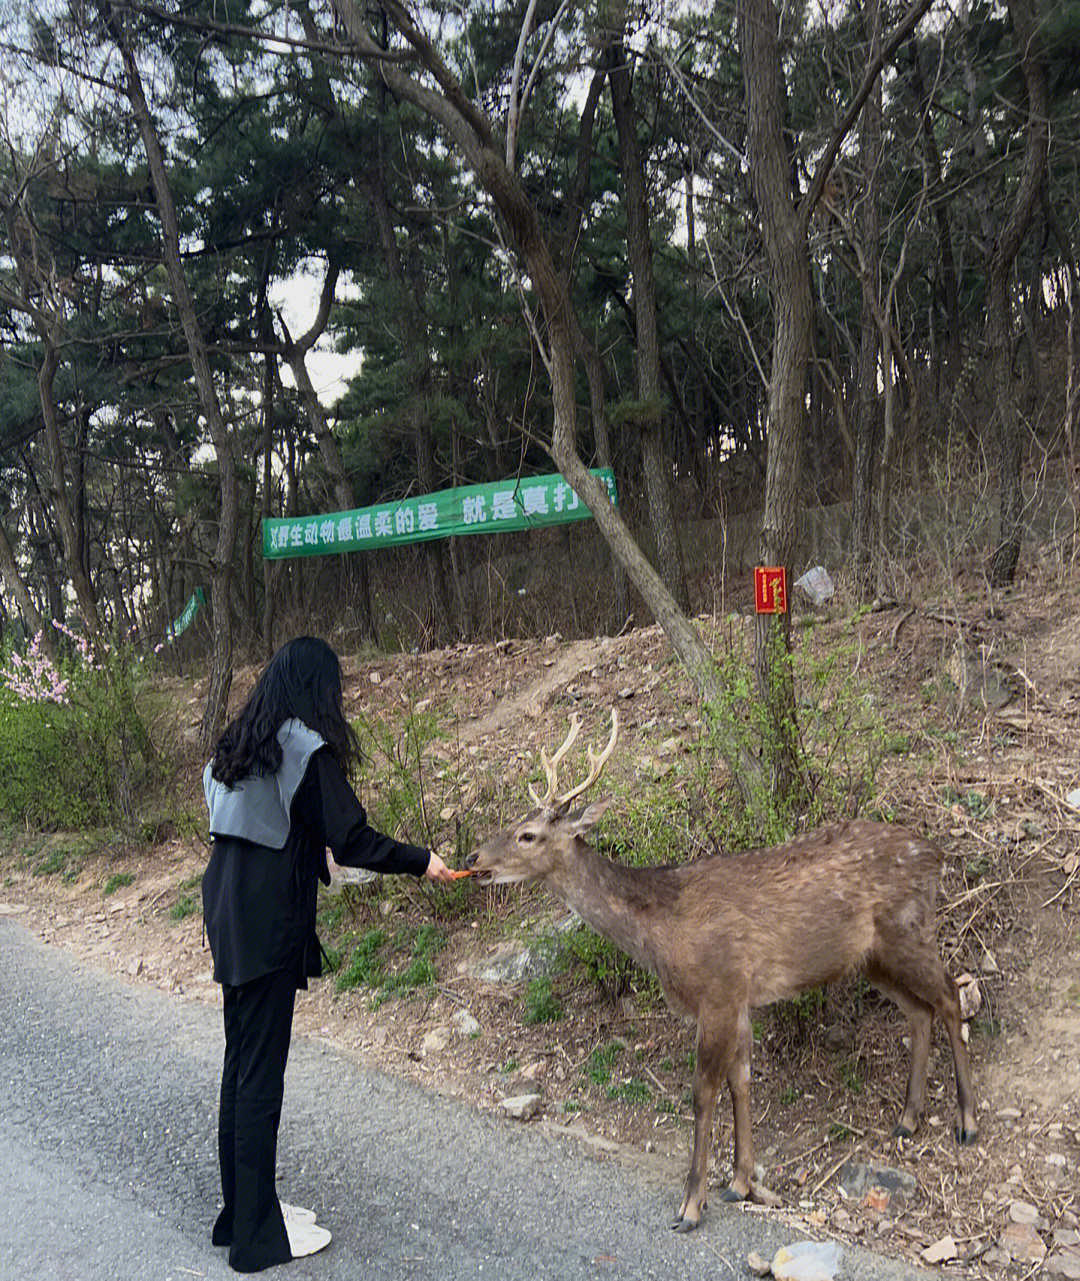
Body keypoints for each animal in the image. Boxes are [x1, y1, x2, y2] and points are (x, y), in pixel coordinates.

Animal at [463, 712, 978, 1229]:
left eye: (528, 834)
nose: (472, 858)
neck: (661, 930)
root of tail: (936, 855)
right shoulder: (739, 997)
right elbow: (742, 1081)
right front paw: (740, 1182)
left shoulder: (719, 989)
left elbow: (703, 1092)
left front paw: (692, 1203)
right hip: (872, 957)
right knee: (919, 1010)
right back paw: (907, 1119)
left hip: (906, 929)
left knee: (950, 995)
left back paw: (967, 1122)